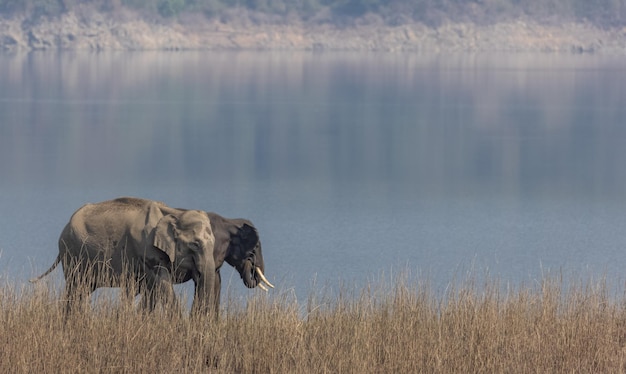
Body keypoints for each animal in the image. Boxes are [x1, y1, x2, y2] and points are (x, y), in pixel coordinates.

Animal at [30, 197, 272, 314]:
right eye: (253, 250)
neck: (174, 213)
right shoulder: (149, 250)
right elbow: (163, 282)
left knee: (83, 290)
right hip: (72, 254)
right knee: (76, 287)